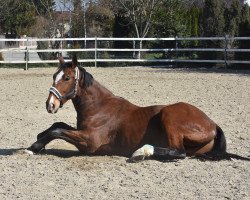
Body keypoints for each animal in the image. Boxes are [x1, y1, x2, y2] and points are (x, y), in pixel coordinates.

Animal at [26, 55, 228, 162]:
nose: (50, 105)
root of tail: (212, 124)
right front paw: (39, 141)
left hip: (169, 116)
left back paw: (141, 152)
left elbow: (58, 130)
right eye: (54, 76)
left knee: (179, 152)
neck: (99, 107)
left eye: (67, 78)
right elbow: (57, 125)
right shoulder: (81, 130)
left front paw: (33, 147)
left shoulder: (90, 141)